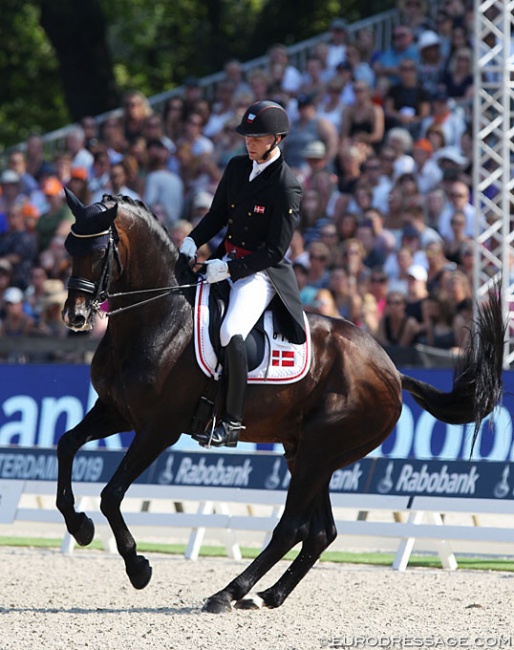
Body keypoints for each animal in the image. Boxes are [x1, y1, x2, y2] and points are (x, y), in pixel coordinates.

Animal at [58, 191, 502, 612]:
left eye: (98, 252)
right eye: (68, 247)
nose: (74, 317)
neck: (161, 315)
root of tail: (390, 370)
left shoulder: (158, 429)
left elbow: (111, 494)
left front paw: (138, 568)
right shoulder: (116, 412)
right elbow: (66, 445)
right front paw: (80, 526)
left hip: (319, 452)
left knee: (292, 527)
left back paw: (228, 593)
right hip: (307, 451)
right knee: (320, 531)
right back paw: (267, 596)